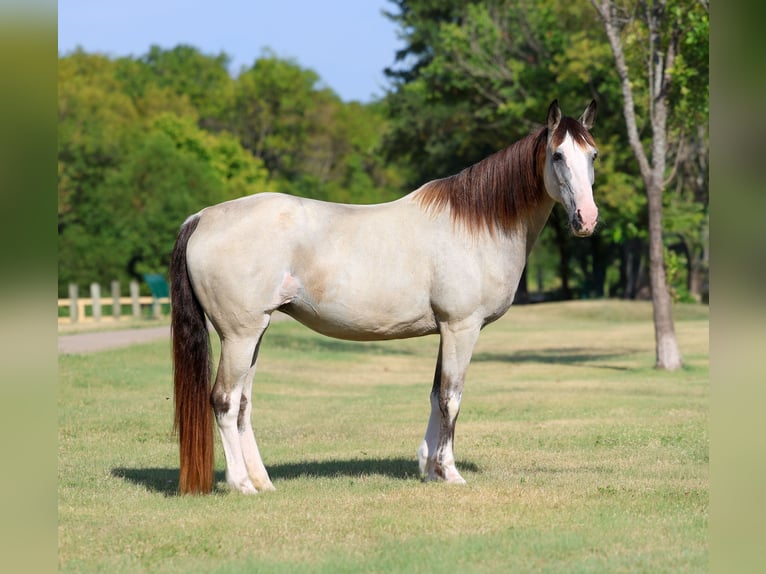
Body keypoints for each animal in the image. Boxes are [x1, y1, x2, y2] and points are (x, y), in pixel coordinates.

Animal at [170, 100, 599, 494]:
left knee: (243, 403)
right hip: (239, 336)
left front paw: (429, 469)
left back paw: (263, 481)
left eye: (592, 155)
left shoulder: (445, 330)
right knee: (224, 401)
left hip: (254, 334)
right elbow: (452, 398)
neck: (476, 224)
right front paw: (450, 472)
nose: (587, 219)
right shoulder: (462, 328)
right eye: (557, 155)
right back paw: (242, 484)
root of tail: (202, 217)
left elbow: (435, 395)